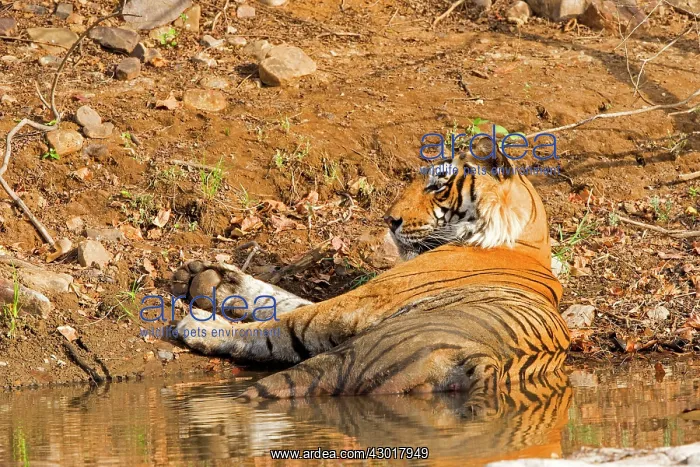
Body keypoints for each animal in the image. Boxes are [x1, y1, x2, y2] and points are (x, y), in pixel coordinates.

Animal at [170, 139, 570, 400]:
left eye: (437, 186)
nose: (389, 220)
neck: (527, 239)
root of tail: (478, 363)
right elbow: (282, 298)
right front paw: (211, 278)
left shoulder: (363, 302)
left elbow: (287, 316)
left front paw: (204, 298)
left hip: (347, 356)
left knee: (279, 339)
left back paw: (197, 328)